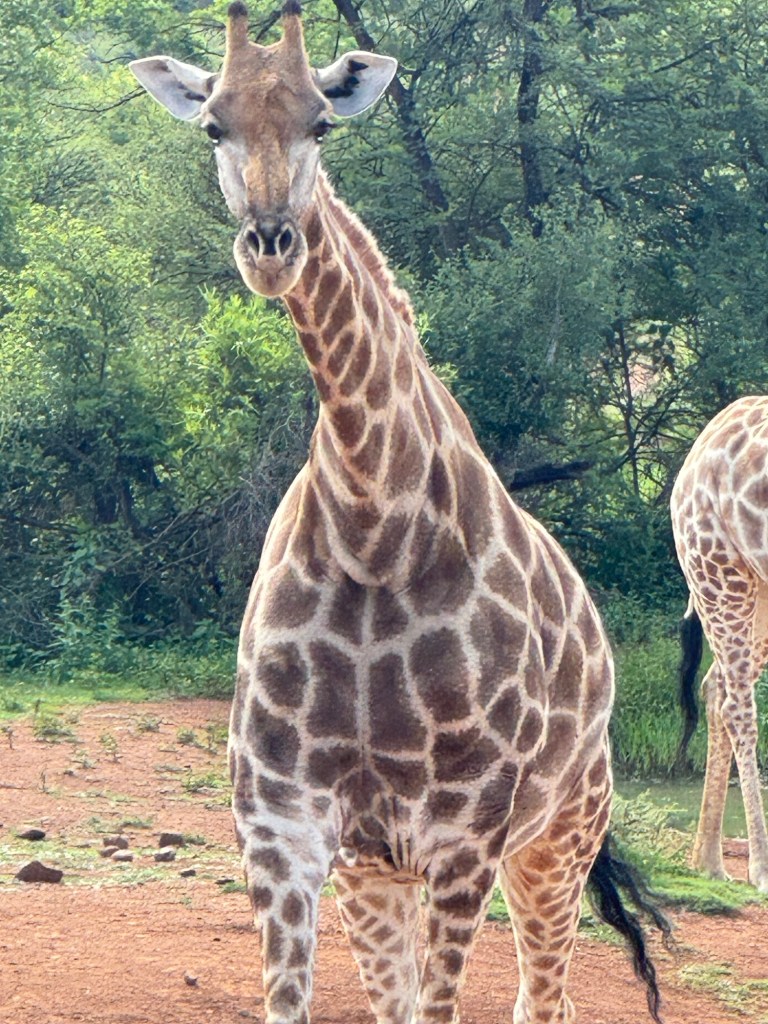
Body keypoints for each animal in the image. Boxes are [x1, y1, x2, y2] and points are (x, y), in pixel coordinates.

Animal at [130, 4, 665, 1022]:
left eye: (322, 124)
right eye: (213, 126)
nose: (271, 246)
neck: (374, 524)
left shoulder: (462, 841)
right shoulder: (290, 831)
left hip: (560, 840)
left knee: (544, 998)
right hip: (385, 873)